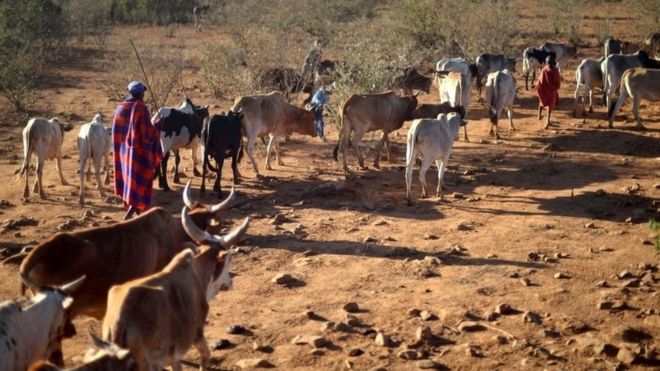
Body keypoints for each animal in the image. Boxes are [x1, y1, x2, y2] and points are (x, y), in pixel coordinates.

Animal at [102, 208, 249, 371]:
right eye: (230, 258)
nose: (230, 283)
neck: (197, 272)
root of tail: (119, 324)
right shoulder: (196, 333)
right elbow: (205, 355)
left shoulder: (174, 355)